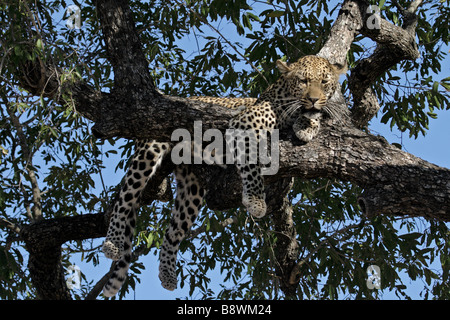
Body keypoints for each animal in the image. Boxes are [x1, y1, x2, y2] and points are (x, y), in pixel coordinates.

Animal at [102, 55, 346, 298]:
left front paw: (308, 125)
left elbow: (311, 119)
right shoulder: (245, 124)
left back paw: (168, 276)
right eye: (303, 81)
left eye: (324, 82)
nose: (314, 99)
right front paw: (255, 200)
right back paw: (112, 243)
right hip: (150, 150)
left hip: (192, 185)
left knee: (172, 231)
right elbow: (251, 162)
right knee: (125, 198)